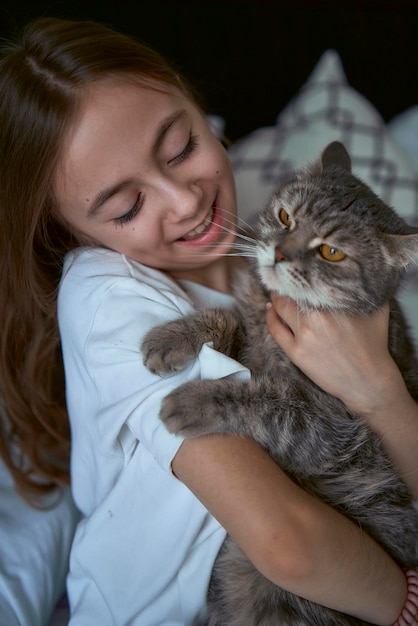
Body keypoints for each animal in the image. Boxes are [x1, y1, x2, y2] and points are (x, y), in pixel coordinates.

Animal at [142, 141, 418, 624]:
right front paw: (170, 337)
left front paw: (192, 400)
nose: (279, 253)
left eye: (331, 253)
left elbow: (262, 404)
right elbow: (225, 319)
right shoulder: (250, 328)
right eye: (286, 217)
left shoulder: (331, 431)